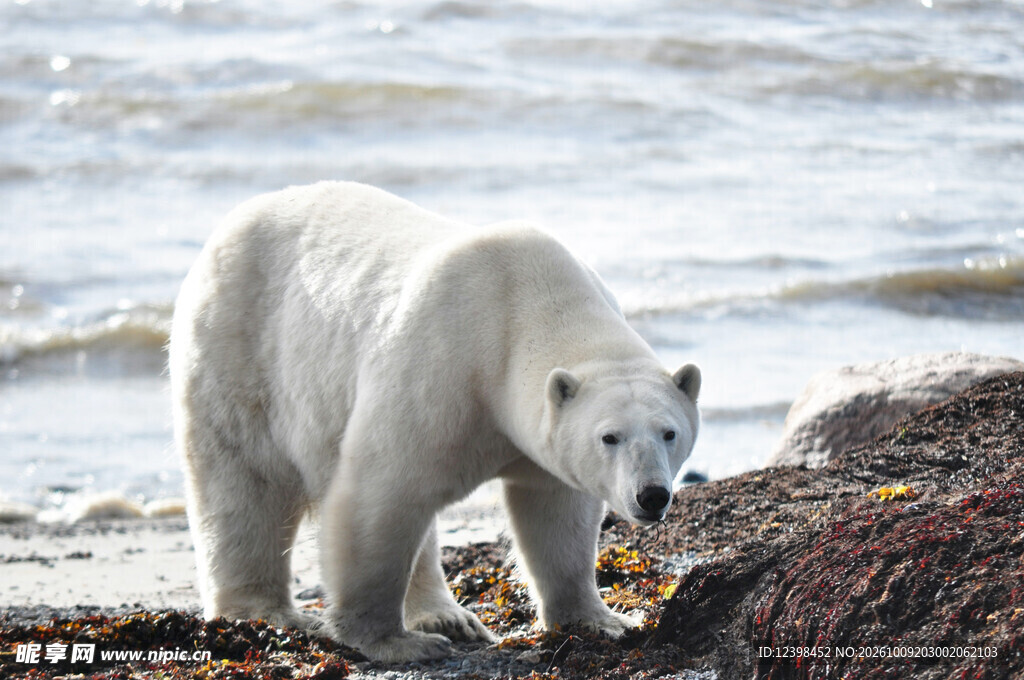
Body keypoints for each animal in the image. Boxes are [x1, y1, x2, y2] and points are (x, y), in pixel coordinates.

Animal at [169, 181, 701, 663]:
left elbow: (554, 513)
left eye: (669, 433)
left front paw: (602, 621)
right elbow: (381, 492)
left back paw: (448, 616)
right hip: (238, 348)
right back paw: (262, 611)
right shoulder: (441, 368)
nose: (651, 495)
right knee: (245, 484)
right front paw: (393, 643)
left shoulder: (536, 438)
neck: (521, 306)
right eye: (609, 437)